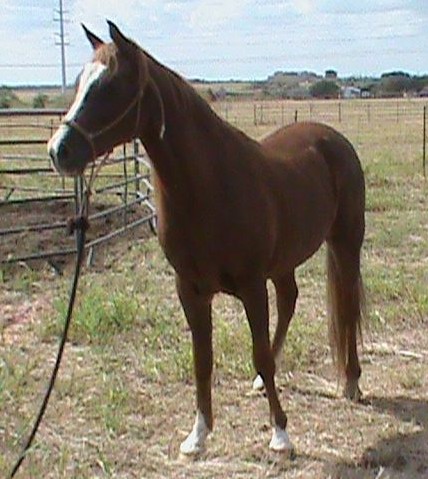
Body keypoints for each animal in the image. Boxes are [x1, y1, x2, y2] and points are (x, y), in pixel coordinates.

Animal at [49, 22, 364, 456]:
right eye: (80, 81)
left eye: (111, 85)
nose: (58, 151)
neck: (209, 184)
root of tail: (333, 139)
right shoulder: (190, 290)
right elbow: (203, 360)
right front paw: (197, 435)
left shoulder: (251, 287)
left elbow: (259, 353)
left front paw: (280, 434)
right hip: (283, 262)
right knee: (290, 299)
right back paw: (263, 384)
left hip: (346, 244)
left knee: (347, 306)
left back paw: (351, 381)